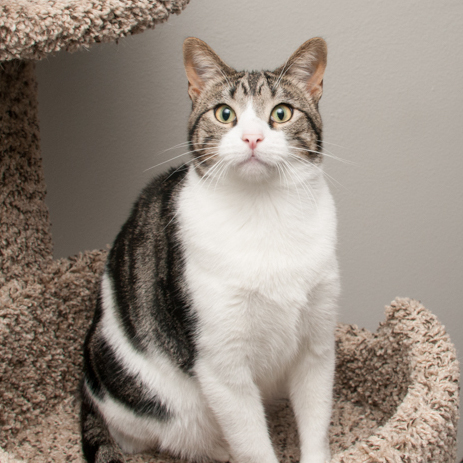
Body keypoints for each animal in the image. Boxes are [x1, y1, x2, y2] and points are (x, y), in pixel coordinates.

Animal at [80, 37, 340, 463]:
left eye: (281, 113)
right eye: (224, 114)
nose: (252, 138)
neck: (265, 214)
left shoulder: (316, 343)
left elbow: (316, 423)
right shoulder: (222, 363)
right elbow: (252, 444)